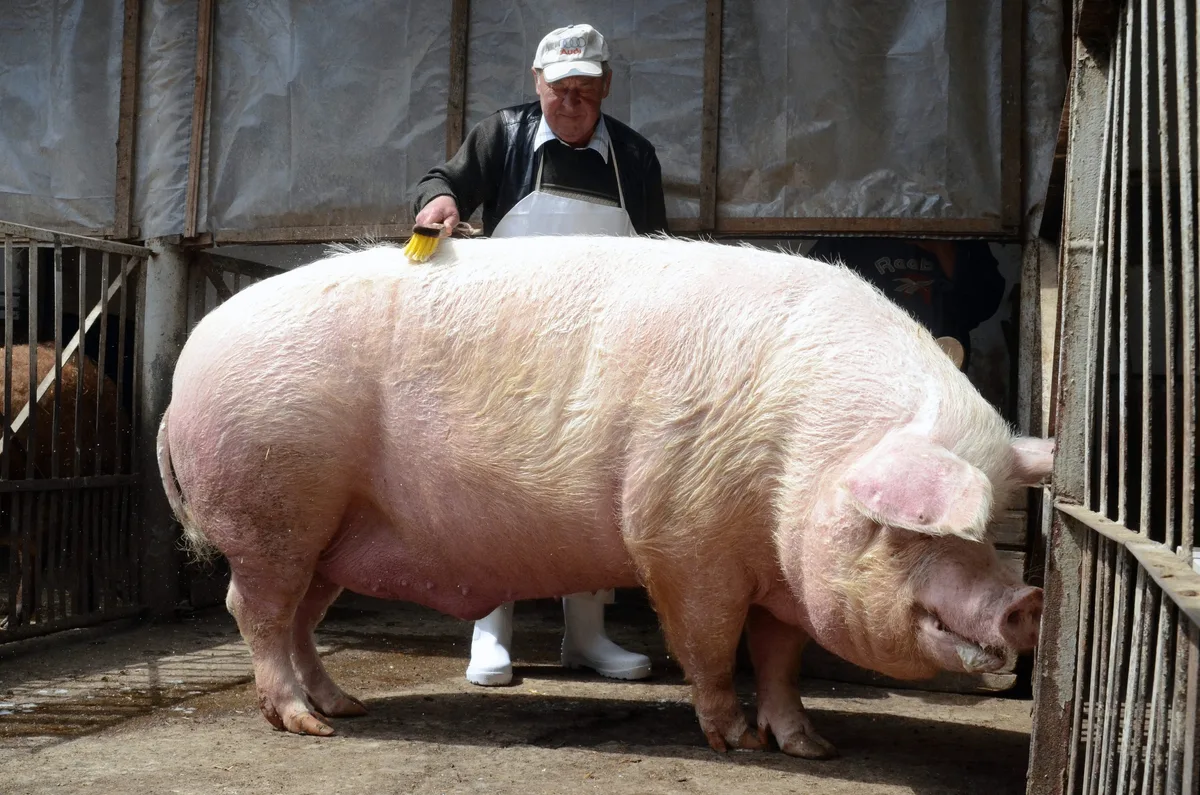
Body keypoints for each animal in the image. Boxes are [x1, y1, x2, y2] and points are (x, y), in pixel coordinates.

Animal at [156, 235, 1051, 758]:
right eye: (919, 532)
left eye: (987, 533)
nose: (1027, 598)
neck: (806, 452)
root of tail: (182, 375)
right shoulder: (682, 536)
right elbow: (710, 643)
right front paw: (735, 740)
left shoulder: (782, 574)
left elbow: (780, 656)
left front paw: (810, 747)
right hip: (270, 505)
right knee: (254, 610)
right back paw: (302, 723)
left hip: (328, 535)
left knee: (301, 619)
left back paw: (346, 707)